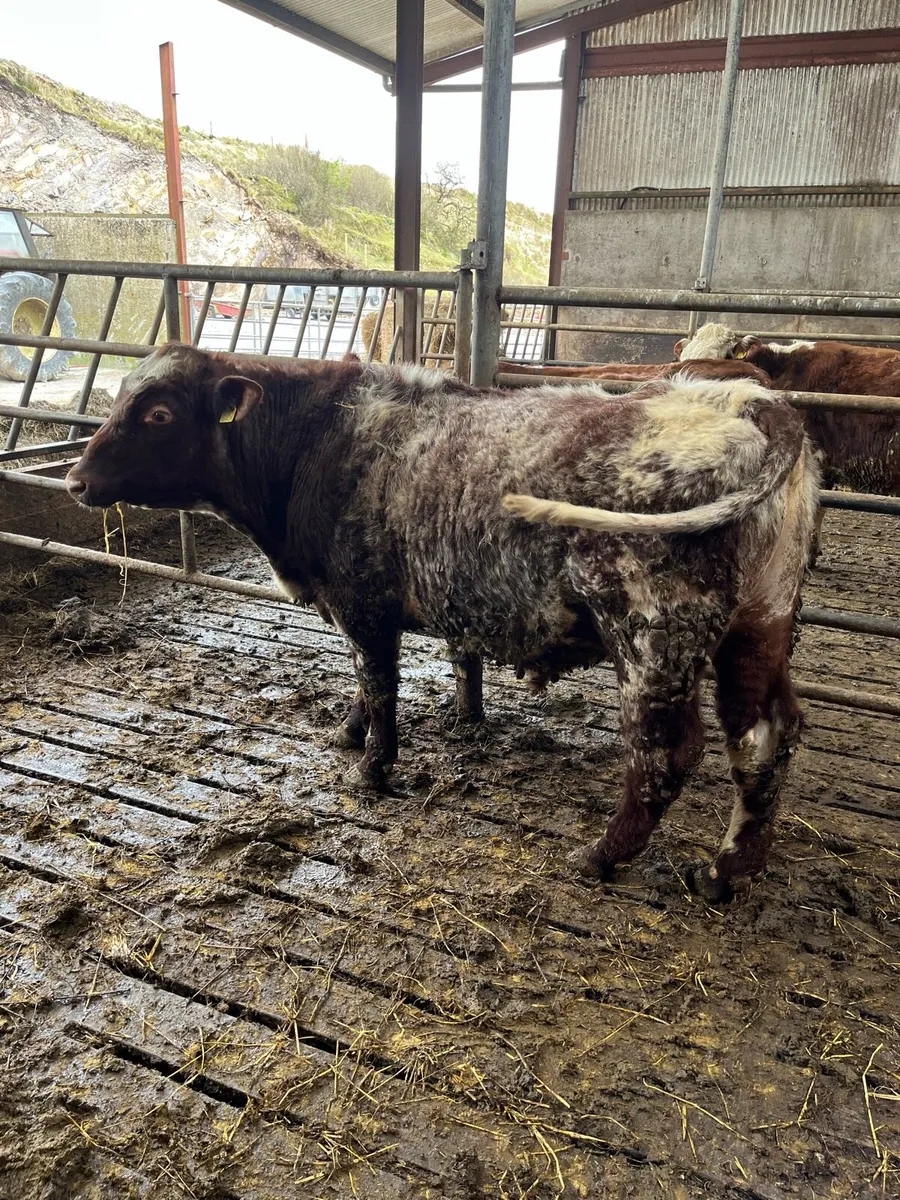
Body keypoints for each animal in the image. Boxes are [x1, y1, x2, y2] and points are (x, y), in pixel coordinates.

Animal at [66, 345, 819, 901]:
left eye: (158, 413)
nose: (74, 480)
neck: (320, 438)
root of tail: (749, 403)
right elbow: (378, 680)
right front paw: (351, 730)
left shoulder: (363, 600)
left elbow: (380, 682)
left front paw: (372, 766)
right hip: (759, 626)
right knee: (765, 736)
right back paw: (727, 870)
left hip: (653, 636)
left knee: (668, 753)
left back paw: (603, 854)